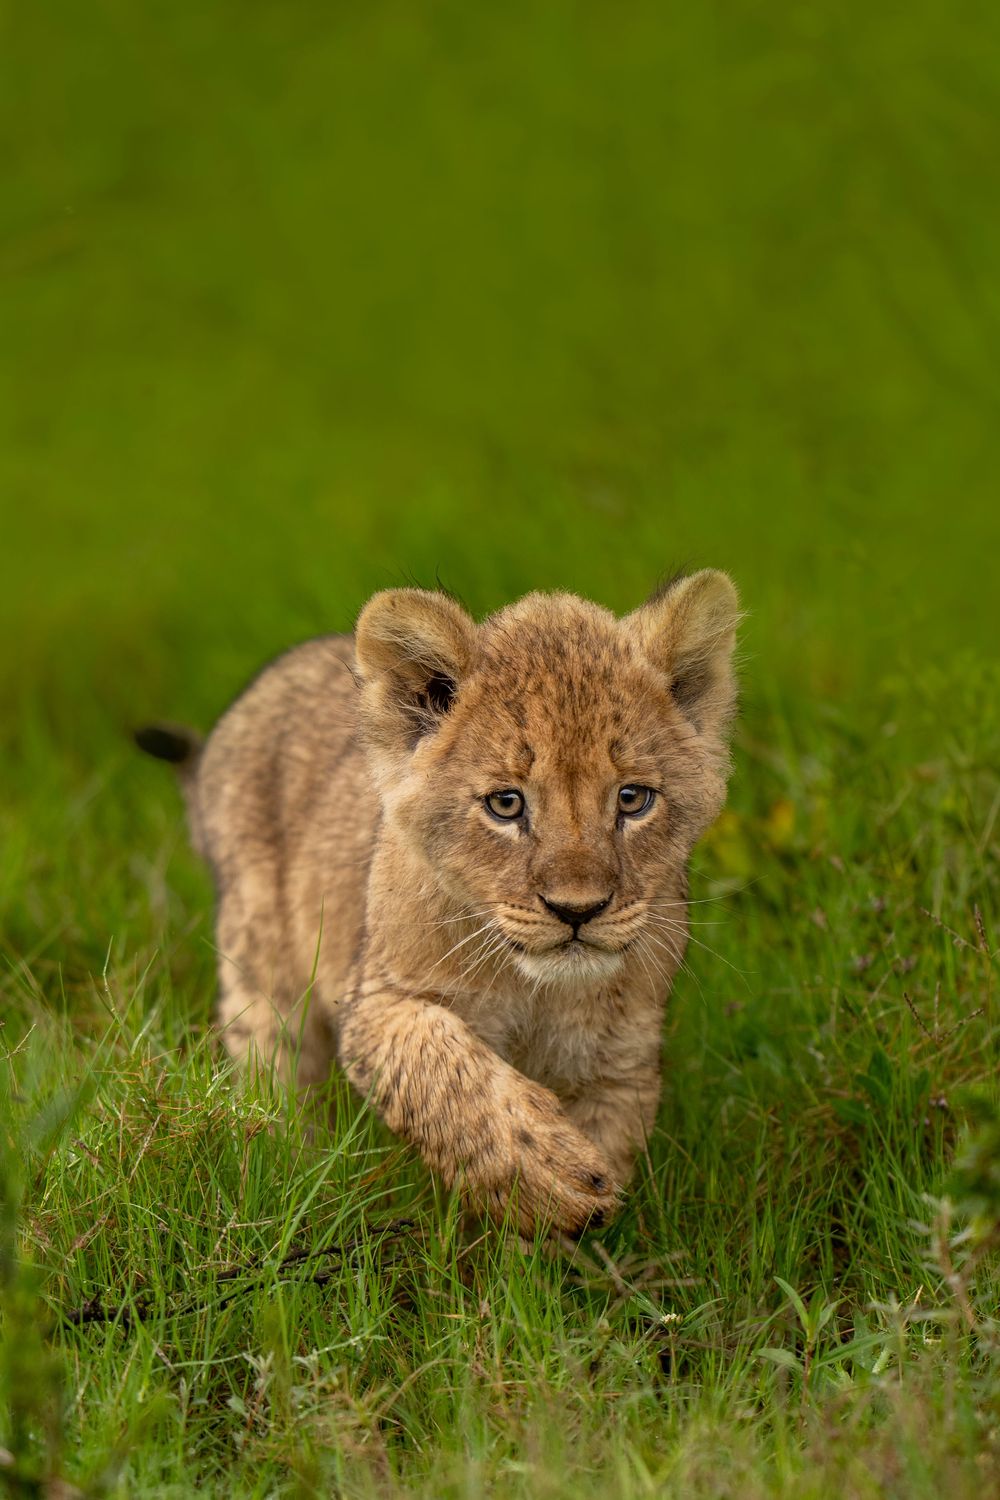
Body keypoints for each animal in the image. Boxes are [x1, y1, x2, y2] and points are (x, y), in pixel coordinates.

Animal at [137, 571, 740, 1236]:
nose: (577, 910)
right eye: (506, 804)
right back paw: (287, 1180)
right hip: (261, 969)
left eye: (633, 799)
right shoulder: (376, 1003)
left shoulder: (621, 1062)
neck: (538, 992)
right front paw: (549, 1175)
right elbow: (441, 1066)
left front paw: (566, 1237)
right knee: (274, 1076)